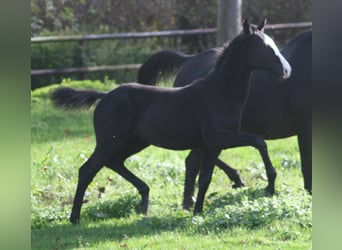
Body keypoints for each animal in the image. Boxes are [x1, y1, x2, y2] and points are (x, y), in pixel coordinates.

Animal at [50, 18, 292, 224]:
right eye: (261, 47)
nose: (287, 70)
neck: (219, 92)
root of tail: (104, 95)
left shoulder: (212, 145)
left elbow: (205, 178)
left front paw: (198, 211)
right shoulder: (222, 138)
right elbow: (259, 141)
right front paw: (270, 184)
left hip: (134, 142)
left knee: (115, 162)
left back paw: (145, 200)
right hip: (110, 141)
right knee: (88, 170)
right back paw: (75, 217)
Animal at [138, 28, 312, 208]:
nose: (287, 70)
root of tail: (190, 60)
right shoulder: (305, 125)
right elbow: (307, 163)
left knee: (194, 159)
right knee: (193, 160)